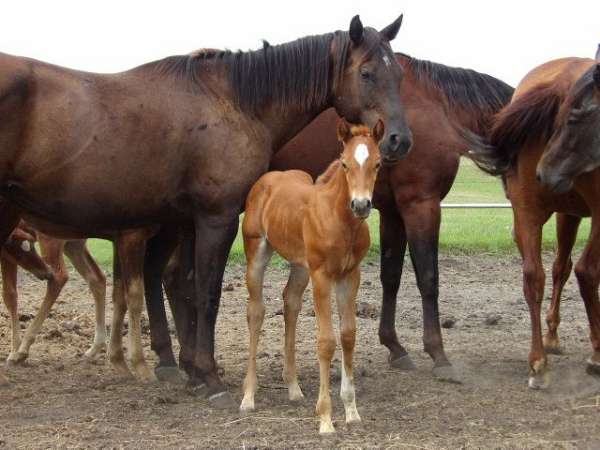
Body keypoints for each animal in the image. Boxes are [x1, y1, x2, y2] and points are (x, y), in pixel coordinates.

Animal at [240, 118, 384, 432]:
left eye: (378, 163)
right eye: (344, 163)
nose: (361, 205)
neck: (340, 221)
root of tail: (267, 180)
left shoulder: (350, 276)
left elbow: (348, 335)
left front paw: (352, 411)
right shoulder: (322, 276)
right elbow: (326, 341)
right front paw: (326, 419)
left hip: (300, 266)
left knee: (290, 304)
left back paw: (293, 388)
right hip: (257, 253)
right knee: (256, 312)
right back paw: (248, 396)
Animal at [466, 55, 596, 386]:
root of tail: (561, 80)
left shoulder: (566, 212)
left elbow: (559, 267)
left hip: (527, 211)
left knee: (535, 276)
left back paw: (539, 360)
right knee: (585, 270)